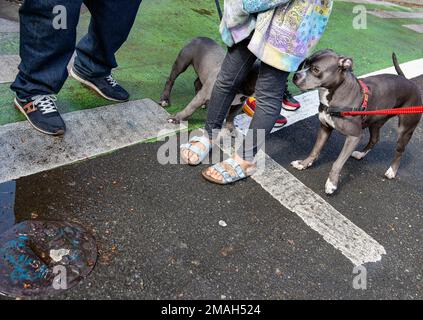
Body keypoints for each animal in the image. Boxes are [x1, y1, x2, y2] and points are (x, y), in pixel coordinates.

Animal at [294, 49, 422, 195]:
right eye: (305, 63)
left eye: (316, 69)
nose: (295, 75)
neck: (336, 92)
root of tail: (408, 81)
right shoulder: (324, 128)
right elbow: (315, 150)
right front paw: (304, 163)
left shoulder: (354, 137)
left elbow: (337, 163)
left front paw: (331, 183)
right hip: (375, 122)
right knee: (375, 139)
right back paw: (361, 154)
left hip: (405, 129)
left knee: (400, 150)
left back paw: (392, 171)